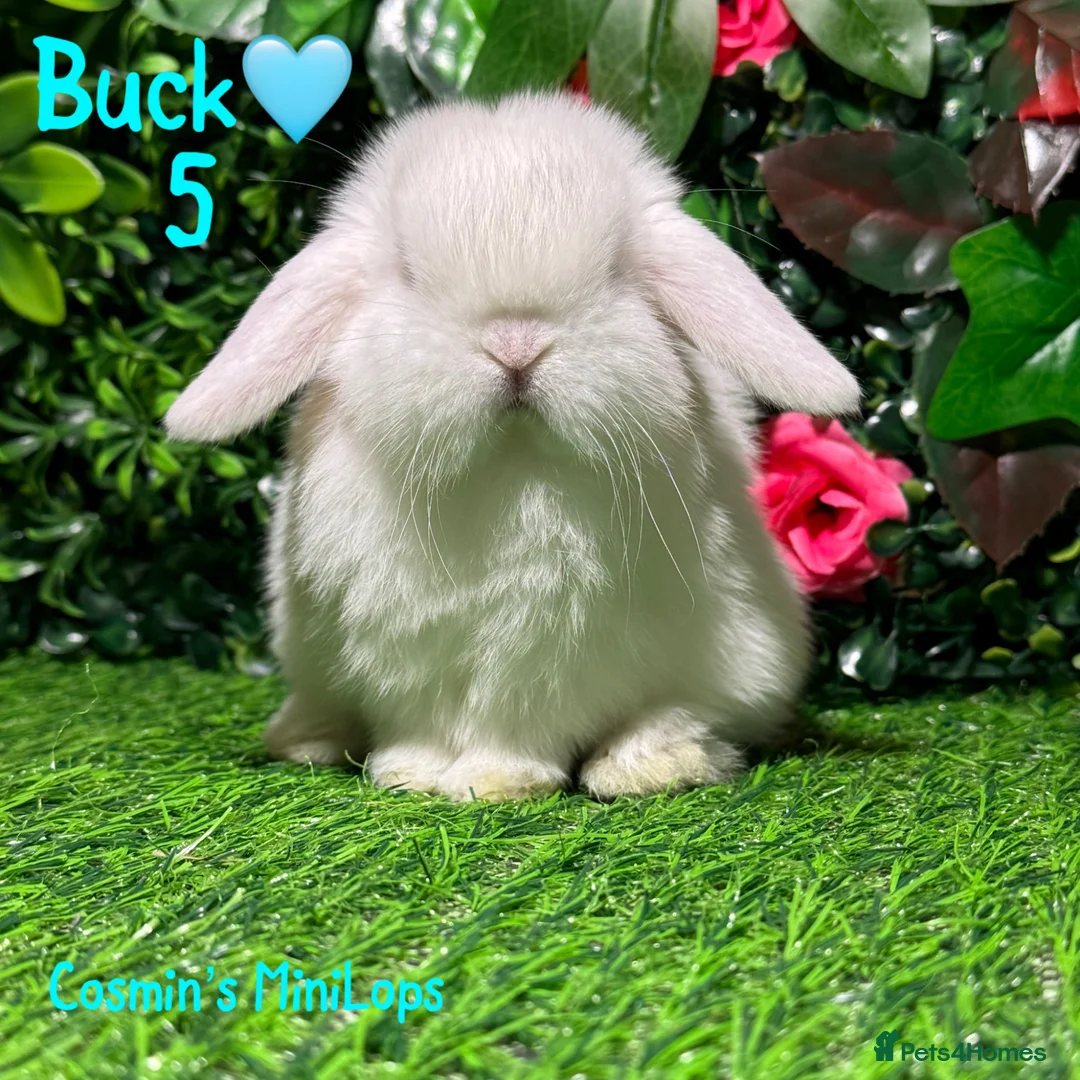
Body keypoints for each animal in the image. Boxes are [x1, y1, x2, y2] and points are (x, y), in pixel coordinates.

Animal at [165, 91, 860, 801]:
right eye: (407, 270)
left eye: (617, 270)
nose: (517, 345)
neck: (511, 467)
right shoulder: (404, 647)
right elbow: (420, 721)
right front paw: (410, 772)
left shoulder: (550, 651)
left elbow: (518, 723)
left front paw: (496, 781)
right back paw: (305, 738)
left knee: (690, 713)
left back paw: (648, 764)